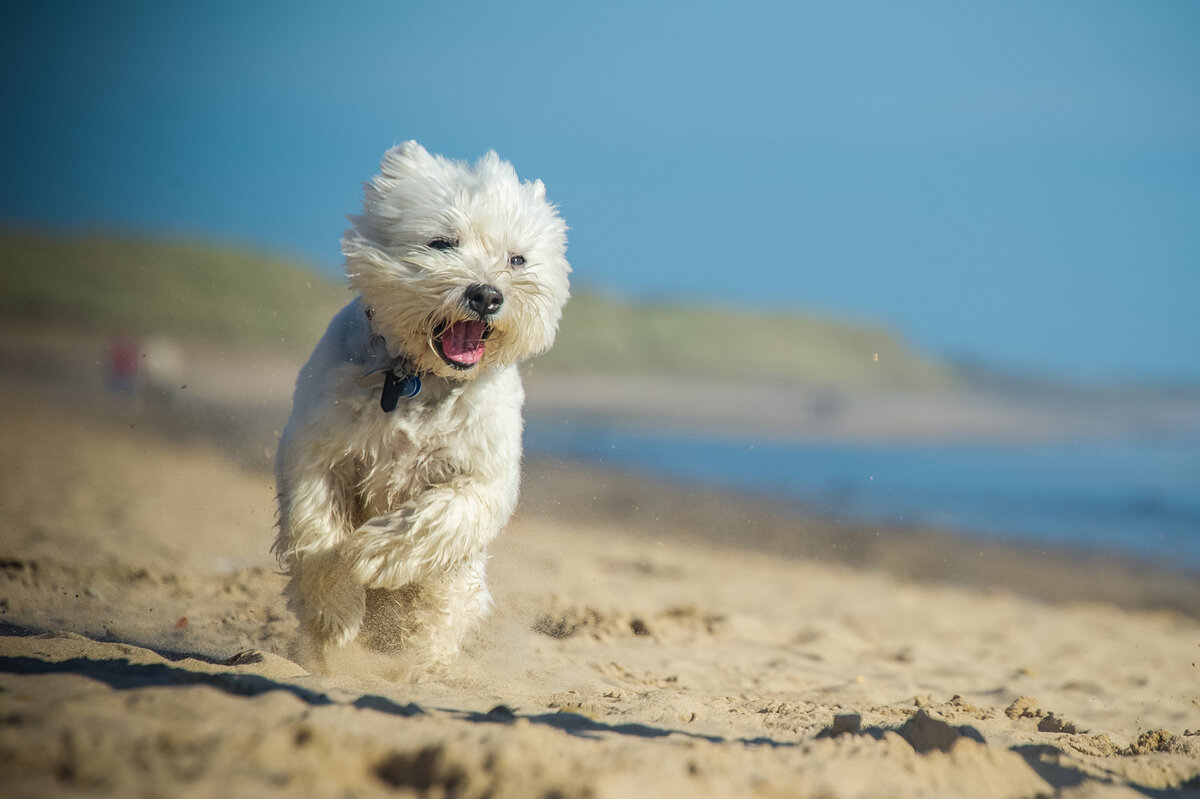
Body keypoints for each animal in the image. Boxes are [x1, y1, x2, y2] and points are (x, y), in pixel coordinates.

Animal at [273, 141, 571, 667]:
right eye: (442, 242)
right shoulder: (318, 451)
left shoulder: (483, 474)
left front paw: (371, 554)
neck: (420, 378)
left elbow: (441, 516)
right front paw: (335, 611)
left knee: (442, 608)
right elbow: (315, 528)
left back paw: (417, 661)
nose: (486, 295)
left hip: (461, 588)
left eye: (517, 259)